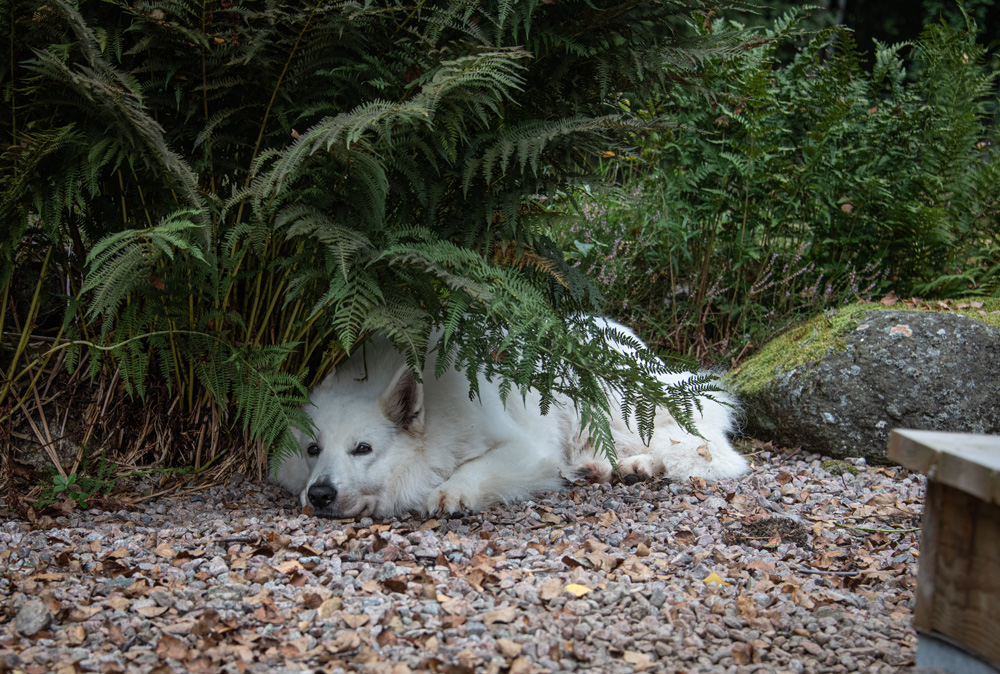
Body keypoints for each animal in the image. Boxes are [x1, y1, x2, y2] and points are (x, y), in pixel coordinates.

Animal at [278, 318, 748, 516]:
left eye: (363, 449)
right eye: (312, 449)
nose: (319, 495)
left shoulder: (526, 451)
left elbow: (474, 468)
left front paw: (450, 493)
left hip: (605, 406)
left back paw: (636, 466)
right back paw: (601, 469)